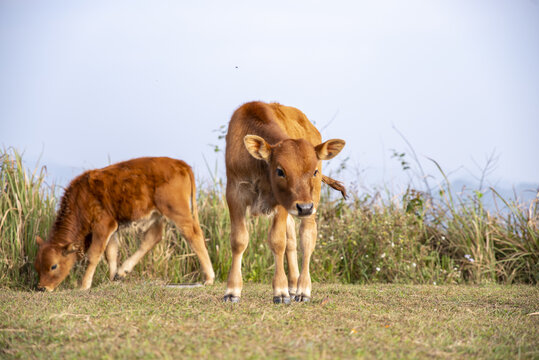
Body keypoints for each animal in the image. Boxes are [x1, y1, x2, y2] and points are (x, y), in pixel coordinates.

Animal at [32, 156, 215, 292]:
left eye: (53, 266)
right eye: (37, 266)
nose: (42, 288)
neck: (80, 199)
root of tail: (180, 163)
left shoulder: (103, 226)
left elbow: (94, 255)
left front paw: (84, 286)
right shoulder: (112, 229)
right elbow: (111, 253)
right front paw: (113, 278)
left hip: (177, 211)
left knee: (193, 234)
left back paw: (209, 278)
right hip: (157, 215)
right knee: (153, 238)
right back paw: (122, 272)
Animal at [223, 101, 346, 304]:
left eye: (314, 171)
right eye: (280, 171)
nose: (304, 207)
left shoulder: (281, 203)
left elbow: (277, 242)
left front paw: (280, 291)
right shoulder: (234, 194)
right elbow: (238, 240)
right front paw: (232, 291)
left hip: (312, 202)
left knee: (307, 238)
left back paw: (303, 289)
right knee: (292, 242)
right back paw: (294, 285)